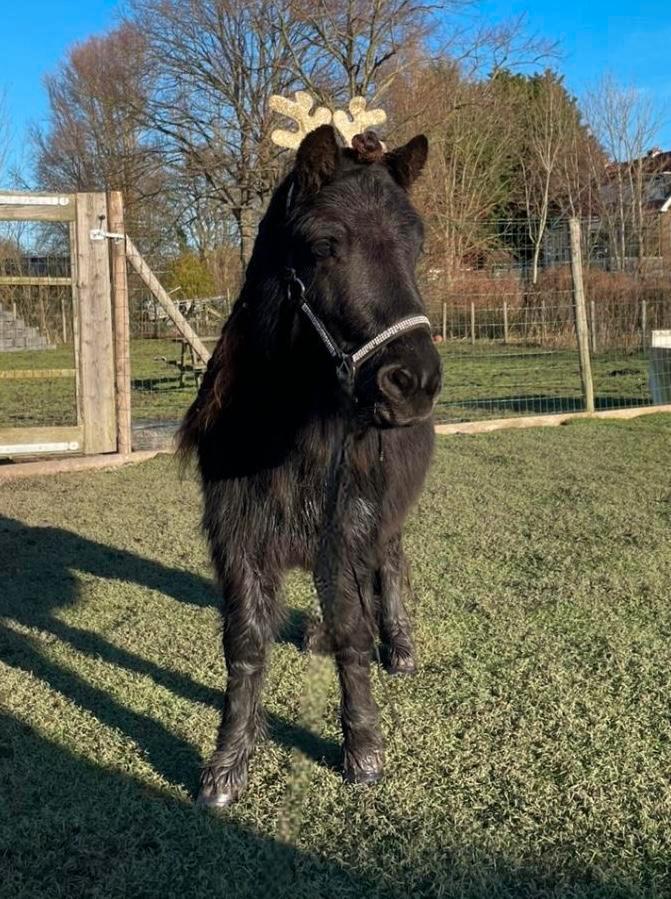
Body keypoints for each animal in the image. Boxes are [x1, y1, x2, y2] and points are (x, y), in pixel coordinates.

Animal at [179, 125, 442, 809]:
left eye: (416, 245)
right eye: (326, 245)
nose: (415, 382)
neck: (287, 433)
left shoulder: (344, 524)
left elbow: (353, 631)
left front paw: (364, 751)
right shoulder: (238, 534)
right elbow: (245, 644)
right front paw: (227, 765)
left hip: (385, 512)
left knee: (390, 563)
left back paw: (399, 645)